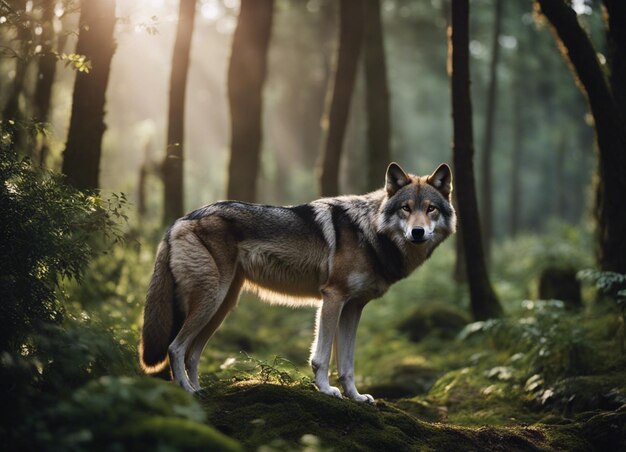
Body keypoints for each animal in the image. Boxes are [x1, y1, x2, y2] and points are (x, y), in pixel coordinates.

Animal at [140, 162, 454, 402]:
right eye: (406, 208)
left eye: (431, 209)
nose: (417, 232)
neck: (370, 231)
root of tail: (179, 221)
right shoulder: (333, 298)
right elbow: (322, 356)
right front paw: (326, 390)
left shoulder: (353, 308)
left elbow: (348, 364)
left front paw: (355, 397)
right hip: (211, 300)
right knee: (175, 348)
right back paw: (188, 393)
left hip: (222, 307)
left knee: (192, 354)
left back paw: (199, 390)